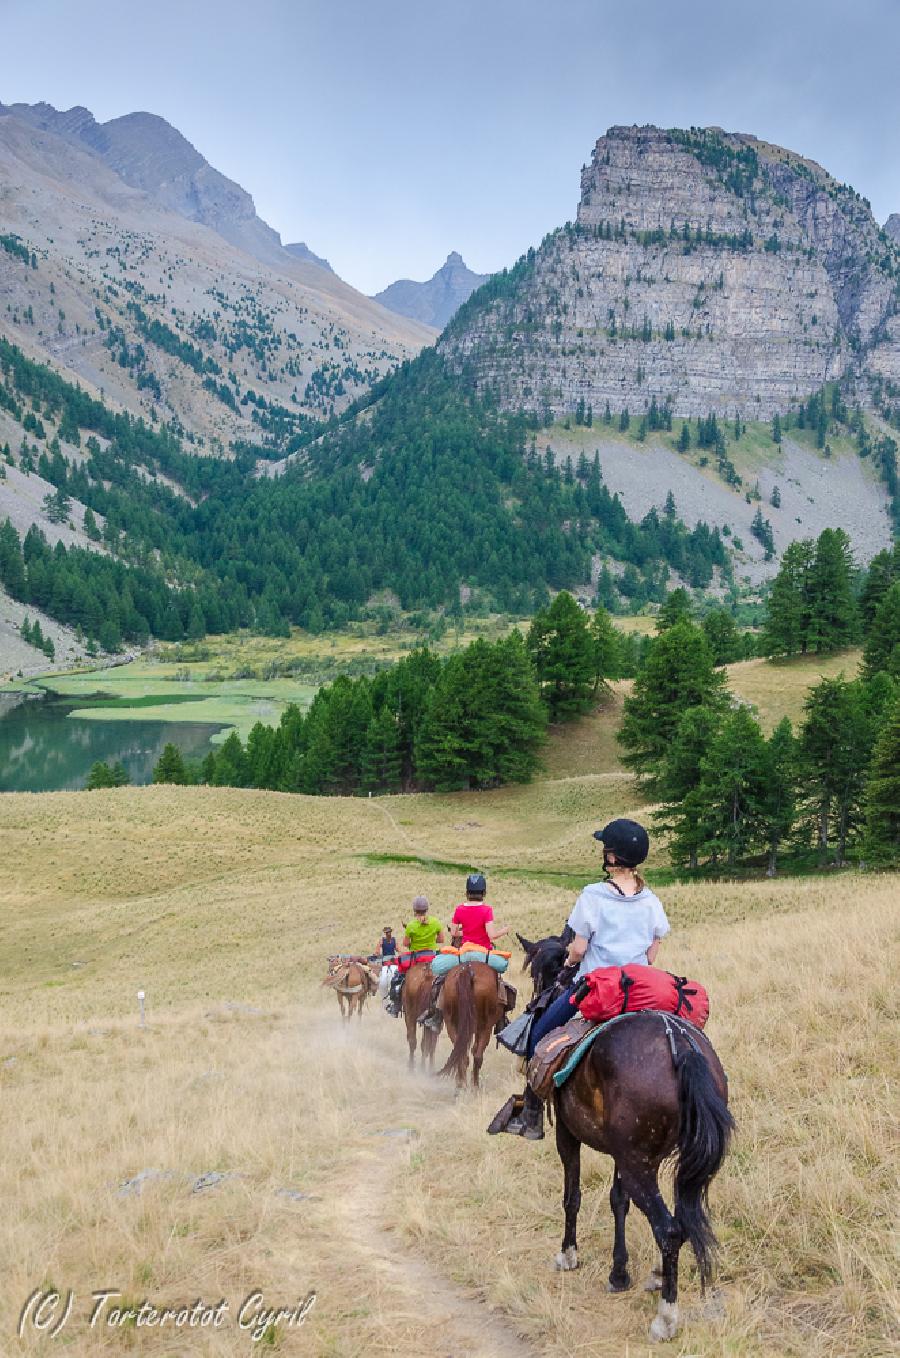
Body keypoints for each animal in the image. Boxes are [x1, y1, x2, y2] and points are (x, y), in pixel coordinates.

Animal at [518, 939, 738, 1341]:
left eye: (538, 971)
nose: (533, 1006)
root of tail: (679, 1045)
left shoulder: (568, 1135)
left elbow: (572, 1196)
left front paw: (568, 1254)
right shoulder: (623, 1152)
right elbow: (618, 1201)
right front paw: (619, 1272)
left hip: (639, 1163)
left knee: (669, 1229)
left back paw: (666, 1317)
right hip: (669, 1161)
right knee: (683, 1218)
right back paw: (659, 1275)